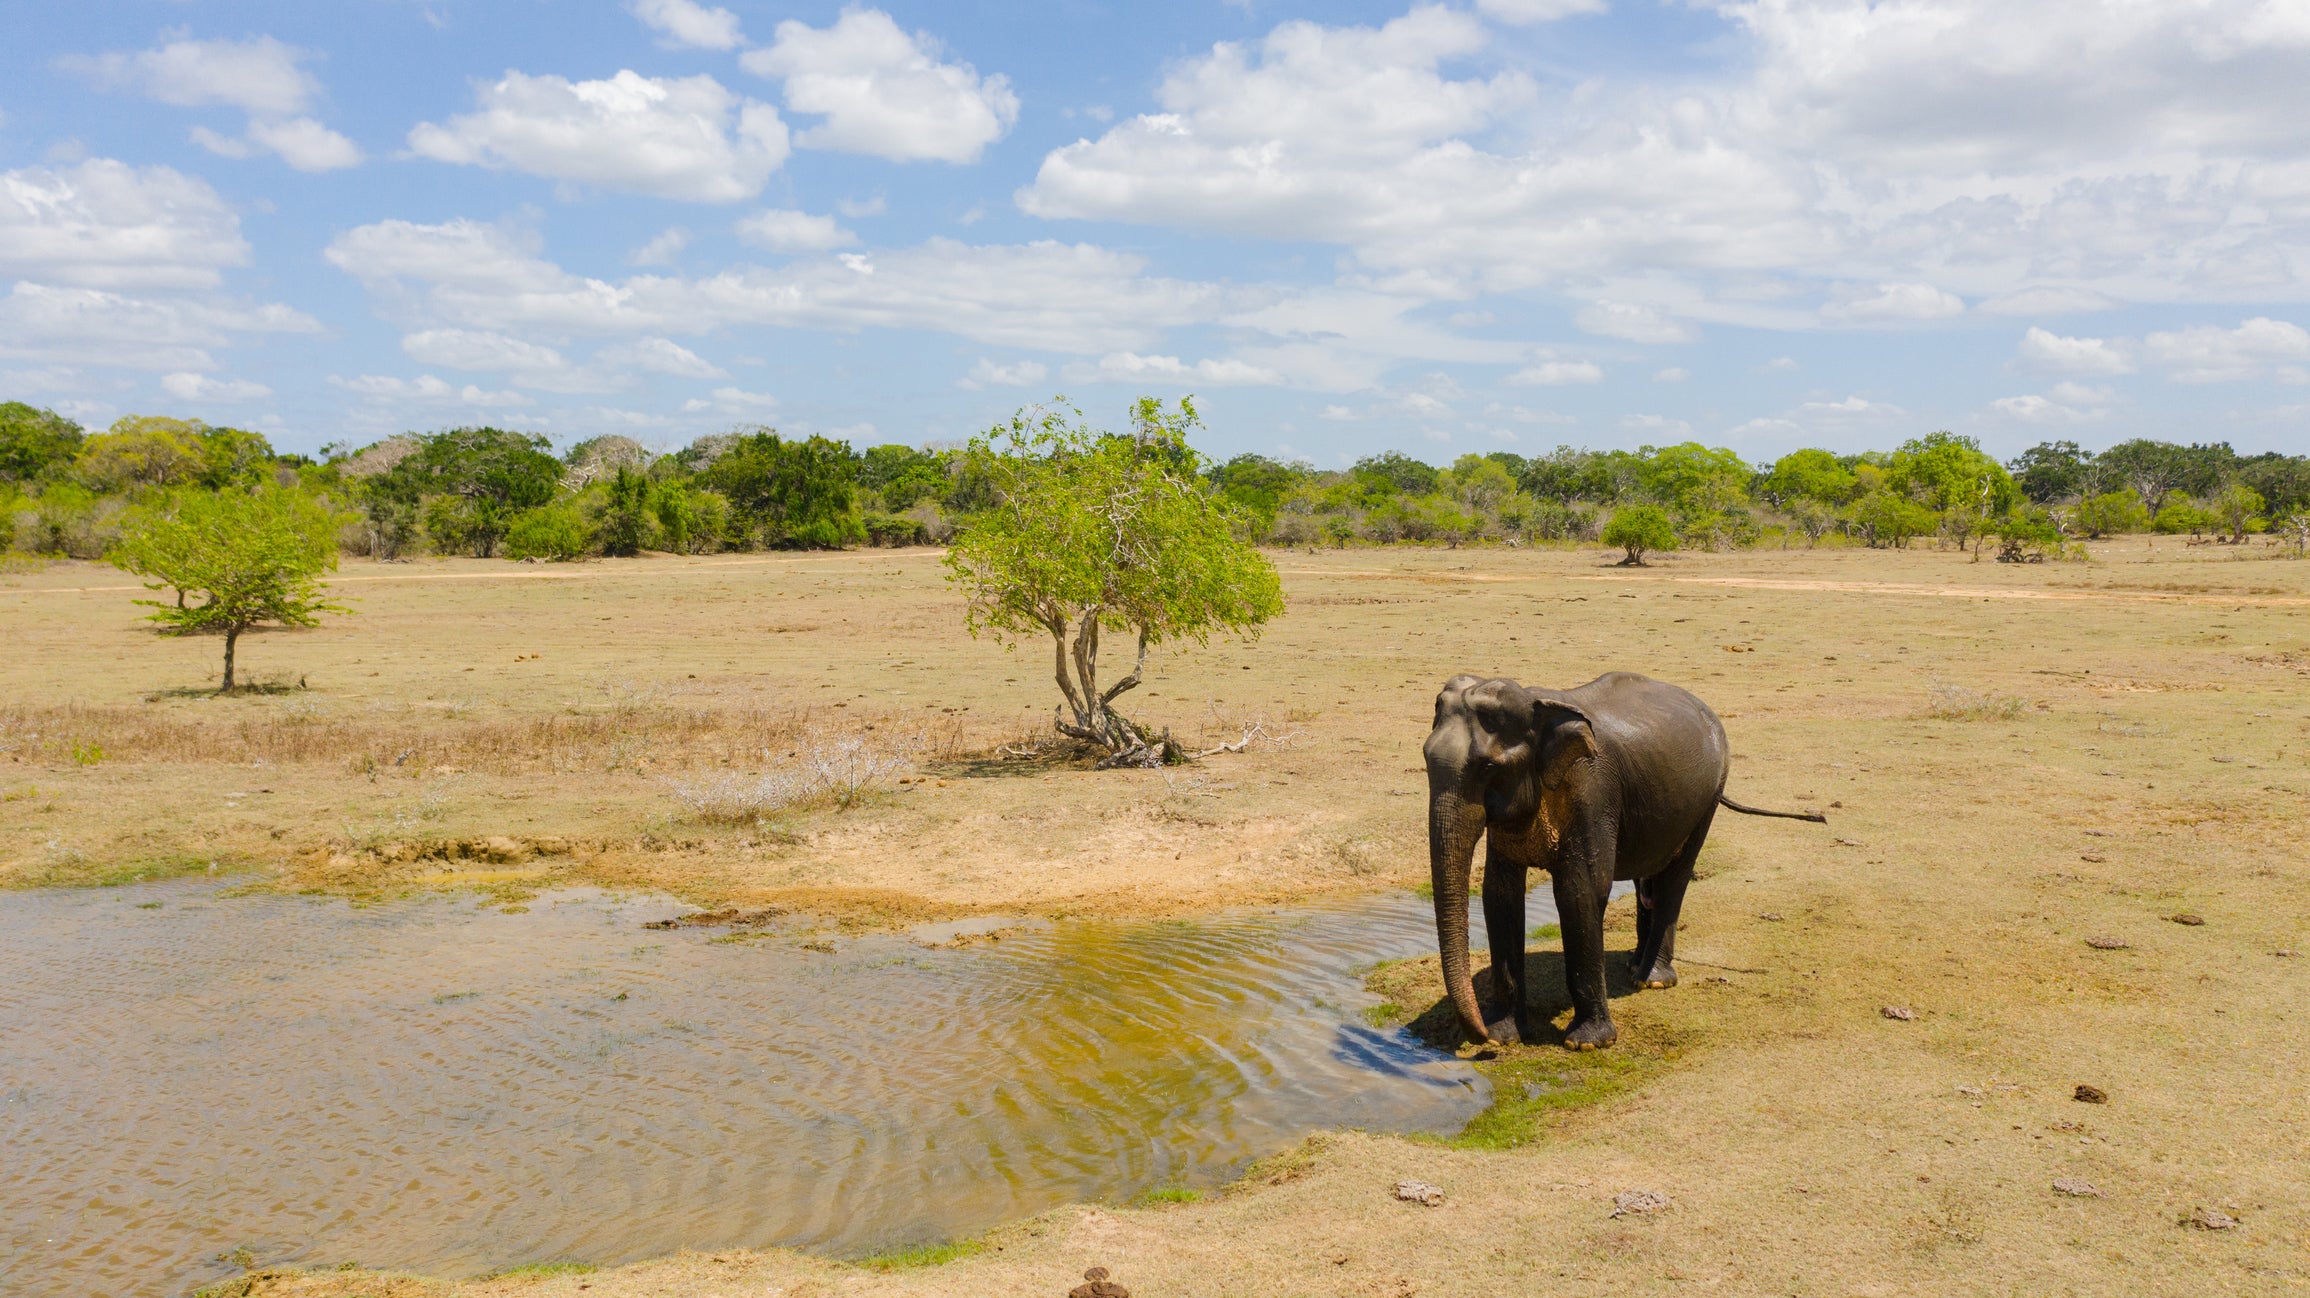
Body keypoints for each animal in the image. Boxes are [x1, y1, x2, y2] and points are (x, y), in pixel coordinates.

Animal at [1422, 669, 1820, 1043]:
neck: (1540, 703)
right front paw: (1503, 1035)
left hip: (1710, 793)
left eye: (1488, 768)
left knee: (1675, 878)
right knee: (1650, 878)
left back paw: (1652, 979)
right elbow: (1499, 896)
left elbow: (1580, 892)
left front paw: (1586, 1043)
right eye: (1425, 757)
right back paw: (1633, 965)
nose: (1478, 1034)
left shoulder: (1592, 794)